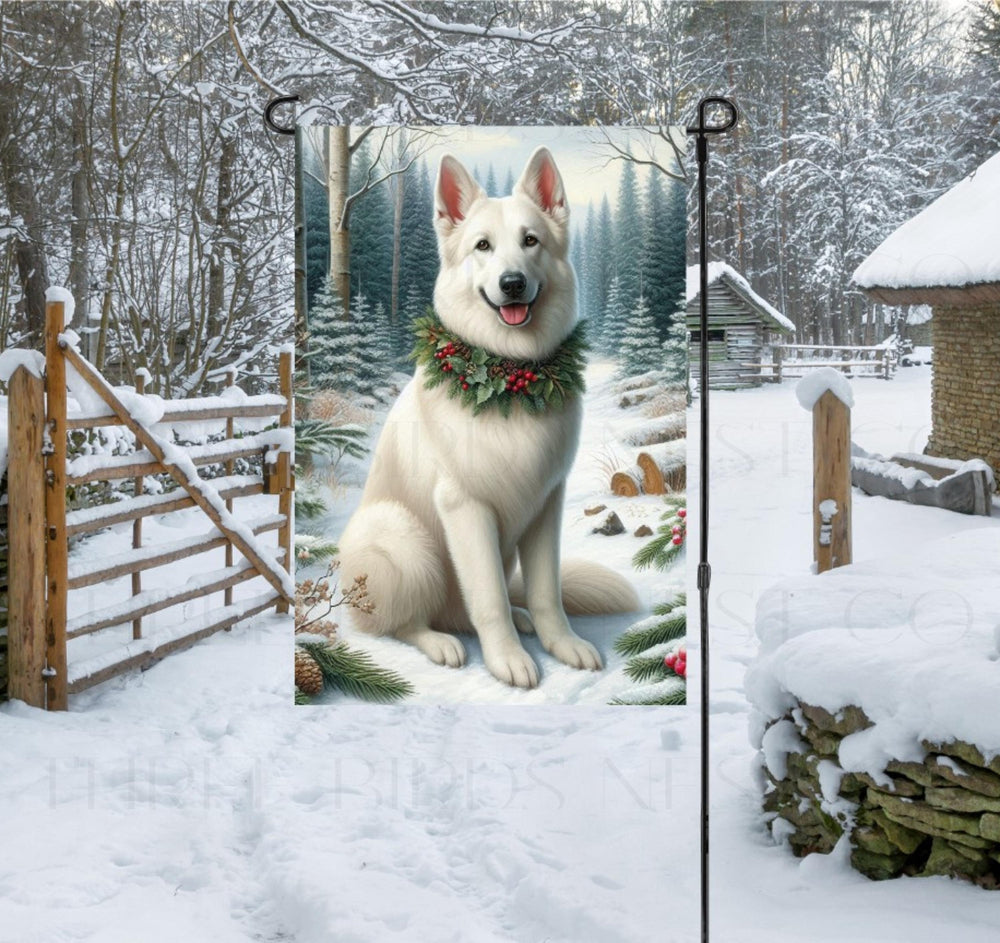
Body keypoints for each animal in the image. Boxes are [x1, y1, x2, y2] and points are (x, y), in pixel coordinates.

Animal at [340, 149, 636, 692]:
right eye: (483, 246)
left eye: (530, 241)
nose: (512, 283)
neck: (510, 379)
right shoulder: (466, 508)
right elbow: (490, 598)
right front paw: (509, 660)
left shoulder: (546, 503)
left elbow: (545, 592)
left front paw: (561, 643)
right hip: (404, 537)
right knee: (402, 622)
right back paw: (440, 642)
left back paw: (518, 622)